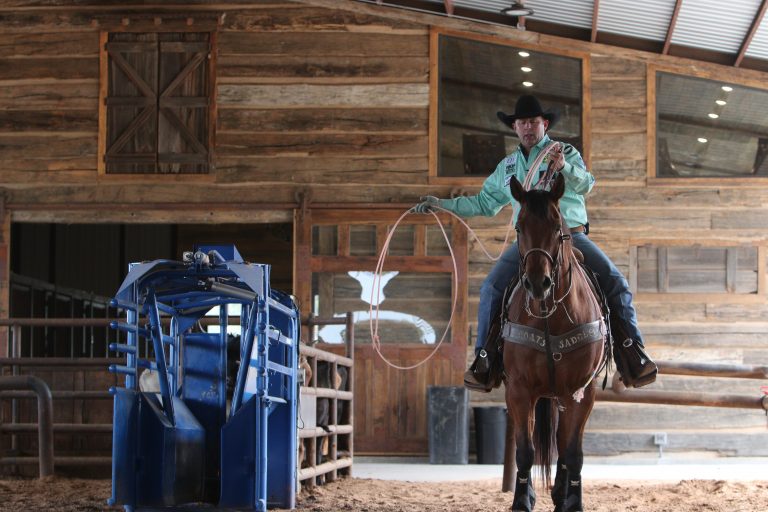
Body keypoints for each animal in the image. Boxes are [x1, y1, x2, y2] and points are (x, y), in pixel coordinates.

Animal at [504, 174, 612, 510]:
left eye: (556, 225)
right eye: (519, 226)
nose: (538, 283)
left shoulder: (581, 390)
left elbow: (572, 452)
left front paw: (572, 502)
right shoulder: (518, 389)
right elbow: (524, 452)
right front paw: (521, 500)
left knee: (563, 445)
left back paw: (561, 492)